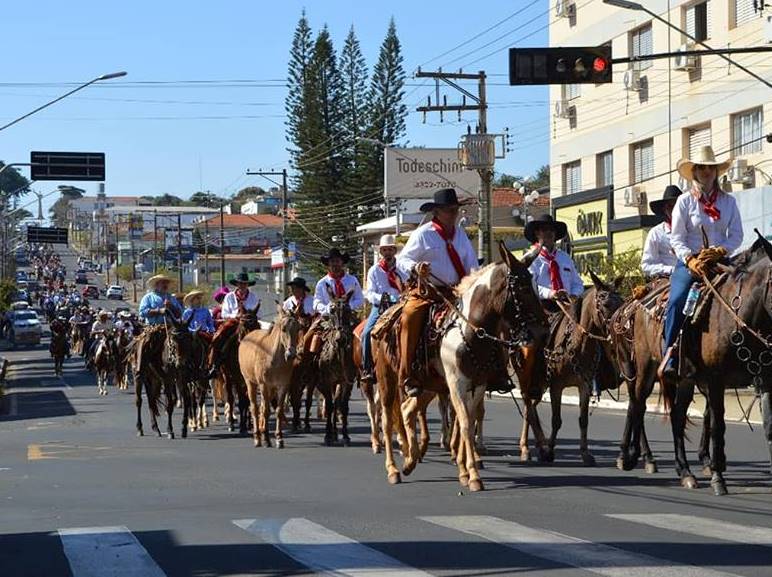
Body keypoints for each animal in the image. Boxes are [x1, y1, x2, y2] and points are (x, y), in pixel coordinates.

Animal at [240, 306, 304, 446]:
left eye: (298, 328)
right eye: (283, 328)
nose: (291, 354)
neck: (274, 358)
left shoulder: (282, 386)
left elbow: (278, 410)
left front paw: (279, 438)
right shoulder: (263, 385)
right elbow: (265, 411)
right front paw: (266, 439)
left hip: (271, 388)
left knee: (263, 405)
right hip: (251, 383)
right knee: (255, 408)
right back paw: (258, 437)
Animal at [516, 272, 624, 466]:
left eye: (621, 302)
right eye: (605, 304)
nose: (618, 329)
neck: (576, 344)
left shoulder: (584, 386)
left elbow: (583, 420)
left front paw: (585, 453)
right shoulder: (556, 386)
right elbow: (556, 420)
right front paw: (550, 451)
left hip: (540, 384)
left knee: (532, 407)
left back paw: (539, 444)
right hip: (529, 379)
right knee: (528, 407)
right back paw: (526, 448)